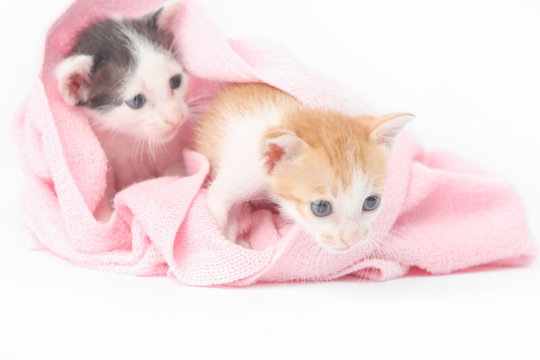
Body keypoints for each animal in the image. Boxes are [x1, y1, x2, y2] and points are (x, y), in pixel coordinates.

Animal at [196, 83, 412, 253]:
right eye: (321, 208)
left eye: (371, 202)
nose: (353, 239)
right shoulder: (244, 173)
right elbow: (217, 204)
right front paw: (228, 245)